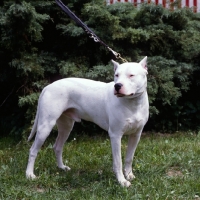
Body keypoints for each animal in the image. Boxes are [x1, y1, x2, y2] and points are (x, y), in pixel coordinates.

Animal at [25, 56, 148, 188]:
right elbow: (118, 161)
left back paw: (62, 167)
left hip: (66, 126)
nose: (117, 86)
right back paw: (29, 174)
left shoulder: (136, 135)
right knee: (33, 150)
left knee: (57, 147)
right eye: (116, 75)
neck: (133, 103)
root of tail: (48, 87)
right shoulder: (115, 135)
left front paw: (129, 175)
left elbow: (129, 158)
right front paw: (122, 181)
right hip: (45, 126)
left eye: (131, 75)